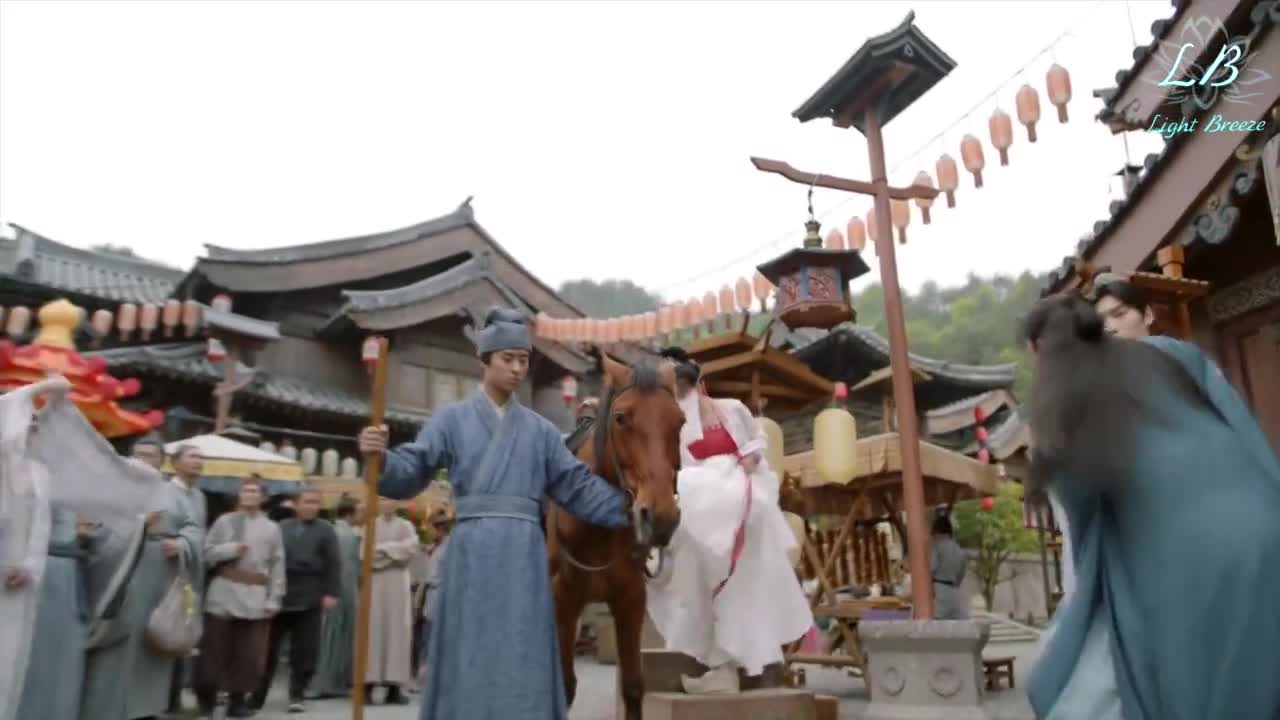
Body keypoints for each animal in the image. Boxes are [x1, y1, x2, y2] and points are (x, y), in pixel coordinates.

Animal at [547, 349, 684, 720]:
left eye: (680, 421)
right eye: (621, 419)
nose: (660, 517)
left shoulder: (631, 597)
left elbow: (633, 685)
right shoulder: (562, 597)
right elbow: (565, 686)